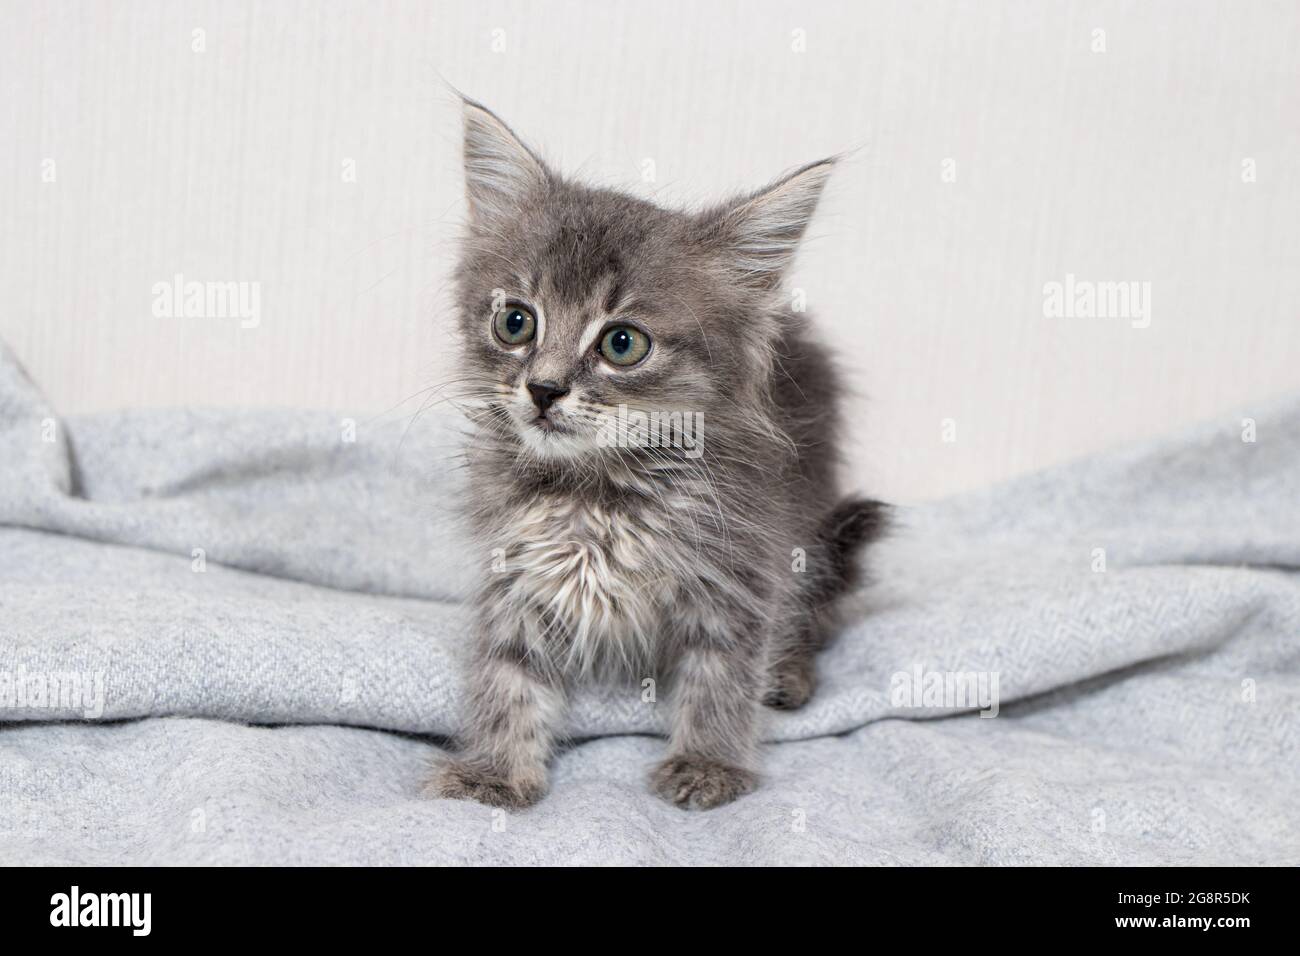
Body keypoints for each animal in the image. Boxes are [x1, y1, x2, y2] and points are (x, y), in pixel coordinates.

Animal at [426, 100, 883, 811]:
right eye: (515, 322)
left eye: (622, 343)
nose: (543, 389)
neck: (597, 491)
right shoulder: (516, 569)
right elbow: (508, 673)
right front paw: (495, 770)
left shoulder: (742, 569)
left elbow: (721, 674)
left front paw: (708, 763)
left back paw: (788, 675)